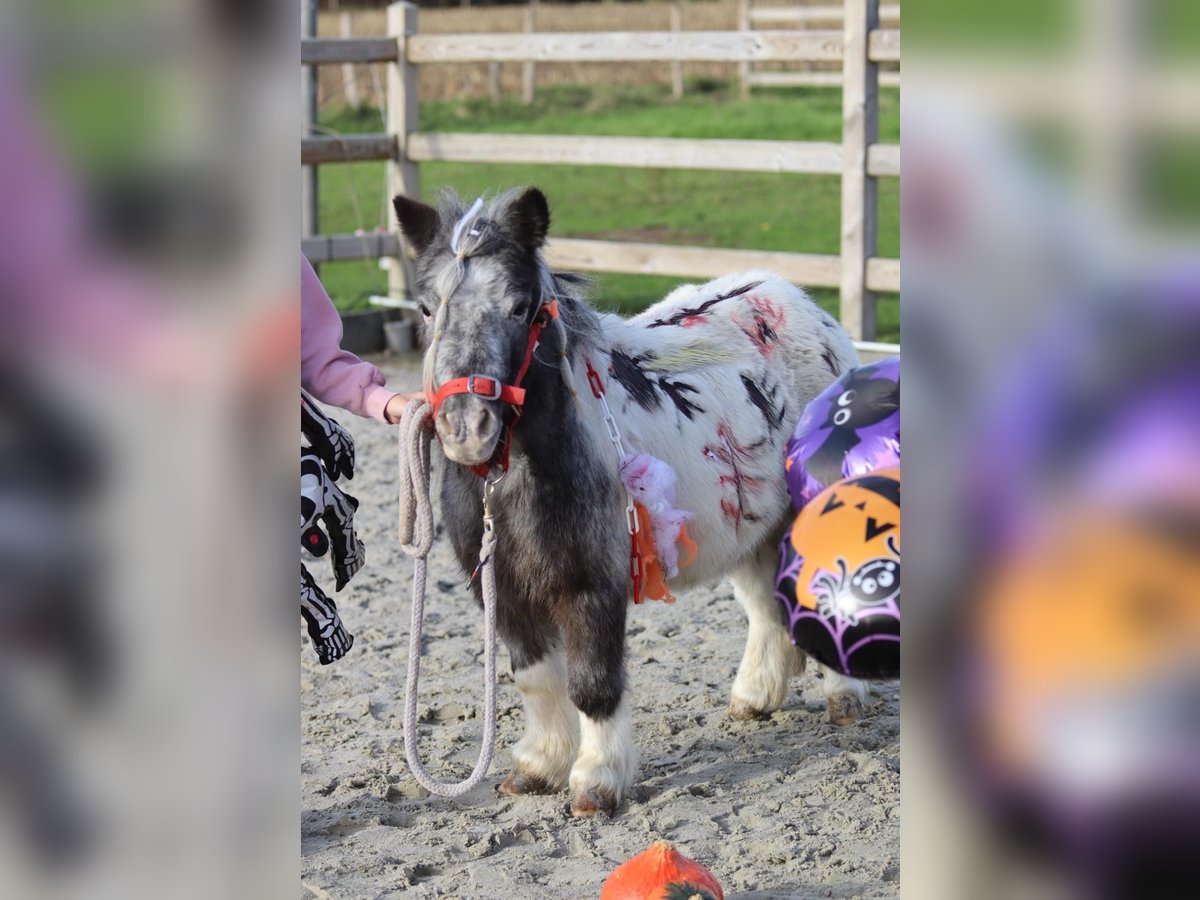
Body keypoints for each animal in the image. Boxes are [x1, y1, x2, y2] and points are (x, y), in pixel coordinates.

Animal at [394, 187, 868, 817]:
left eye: (521, 307)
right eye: (426, 308)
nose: (467, 429)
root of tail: (806, 307)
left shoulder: (593, 583)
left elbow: (593, 682)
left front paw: (597, 782)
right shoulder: (505, 591)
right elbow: (535, 680)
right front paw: (538, 769)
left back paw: (846, 700)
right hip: (752, 531)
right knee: (766, 610)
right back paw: (754, 698)